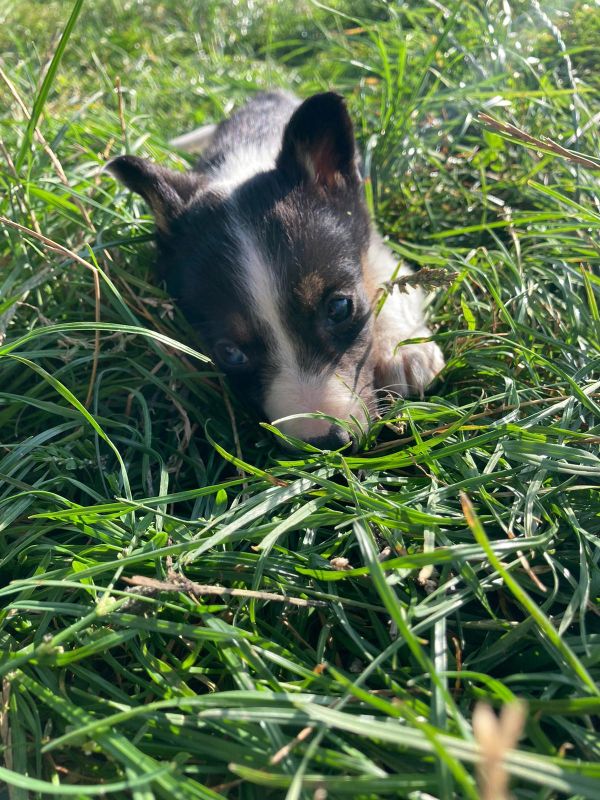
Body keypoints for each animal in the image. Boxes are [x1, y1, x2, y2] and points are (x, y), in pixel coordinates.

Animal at [109, 90, 446, 450]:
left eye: (340, 309)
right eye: (230, 352)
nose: (325, 444)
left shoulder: (372, 239)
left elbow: (390, 280)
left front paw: (404, 350)